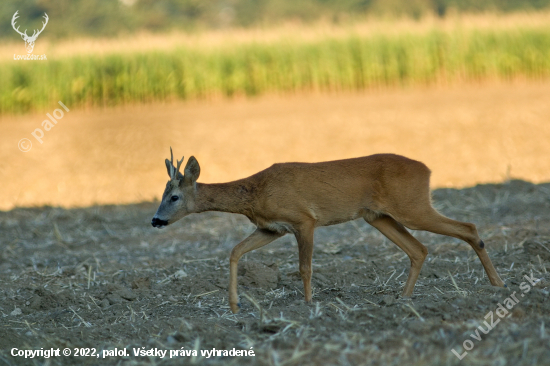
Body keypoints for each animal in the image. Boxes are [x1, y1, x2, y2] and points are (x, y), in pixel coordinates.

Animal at [153, 147, 506, 314]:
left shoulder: (303, 220)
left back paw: (497, 284)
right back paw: (403, 298)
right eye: (161, 194)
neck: (256, 193)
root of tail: (428, 169)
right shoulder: (272, 228)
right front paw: (234, 305)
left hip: (411, 206)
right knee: (419, 249)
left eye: (174, 197)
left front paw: (309, 304)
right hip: (377, 216)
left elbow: (305, 267)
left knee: (468, 227)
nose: (155, 221)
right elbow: (234, 251)